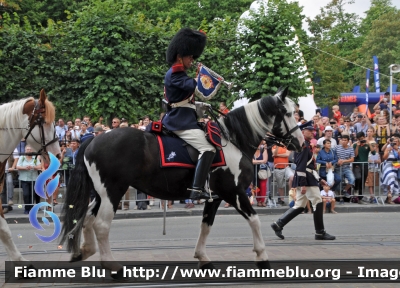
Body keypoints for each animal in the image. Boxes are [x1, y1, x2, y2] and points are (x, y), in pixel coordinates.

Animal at [59, 88, 304, 276]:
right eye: (288, 113)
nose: (300, 143)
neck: (232, 141)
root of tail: (93, 140)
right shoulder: (233, 192)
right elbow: (254, 220)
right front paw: (262, 257)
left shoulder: (214, 197)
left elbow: (206, 225)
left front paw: (203, 258)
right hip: (113, 191)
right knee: (101, 224)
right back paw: (113, 266)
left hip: (102, 194)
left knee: (88, 219)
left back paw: (85, 251)